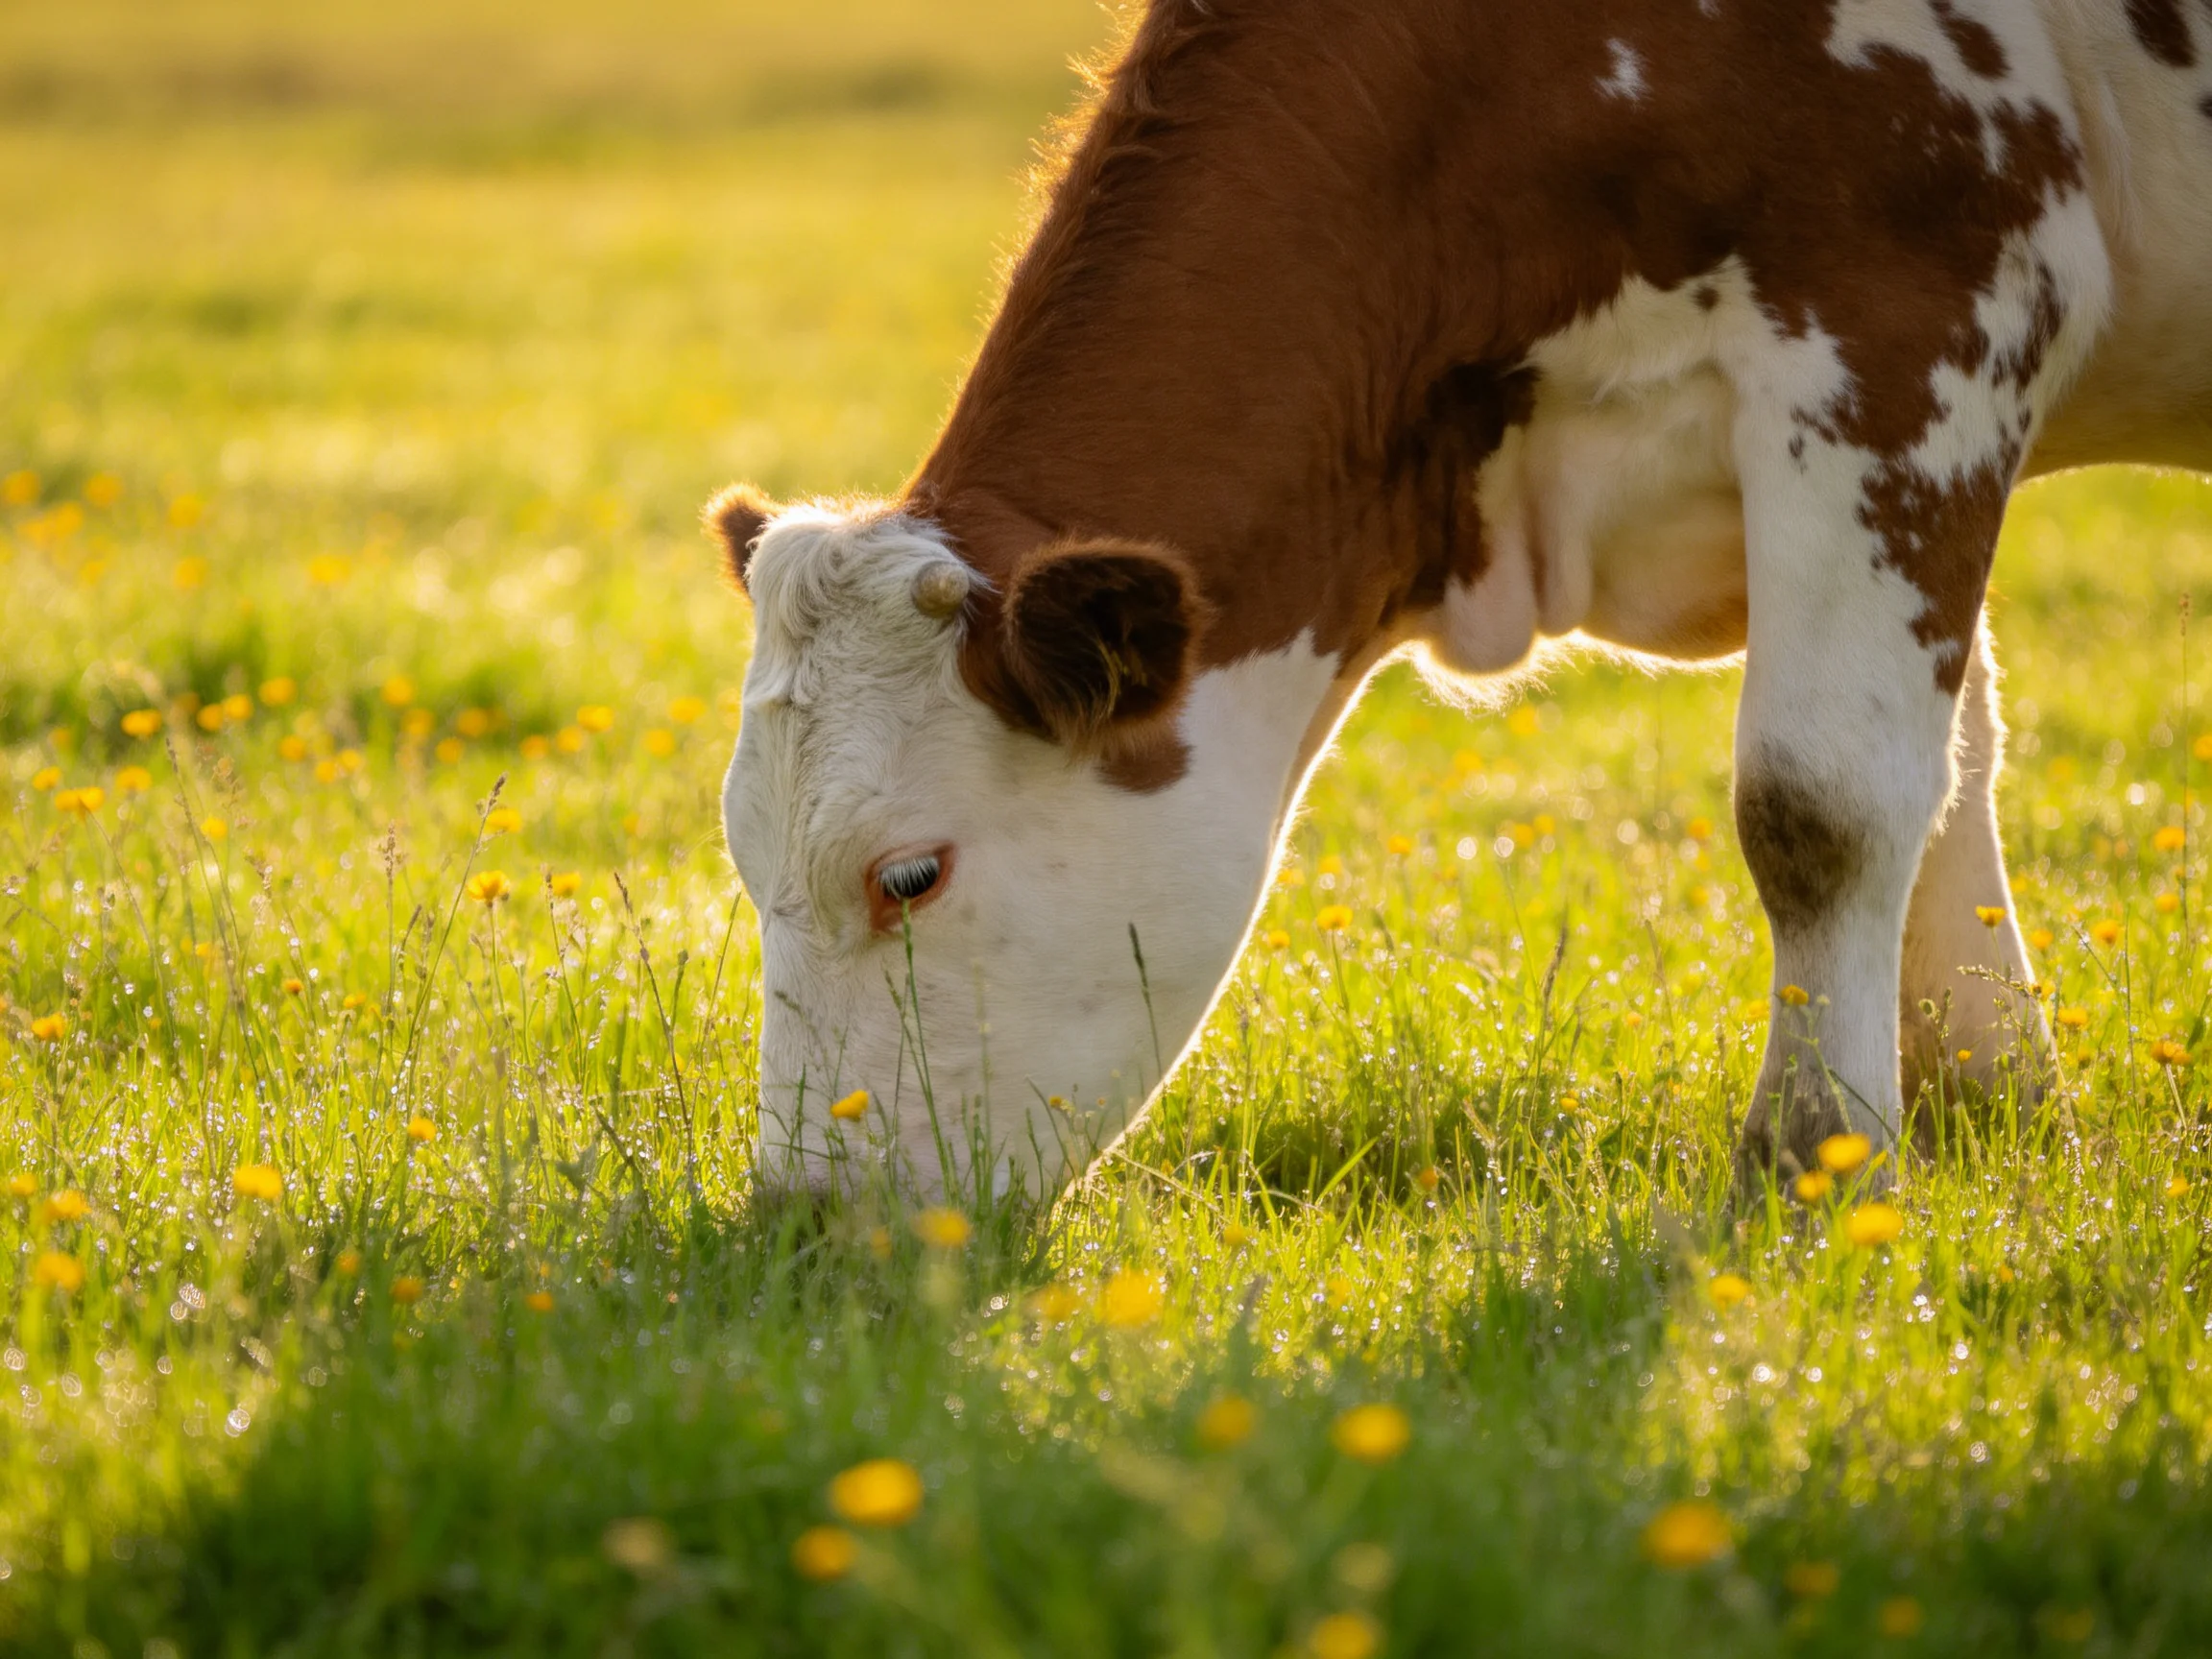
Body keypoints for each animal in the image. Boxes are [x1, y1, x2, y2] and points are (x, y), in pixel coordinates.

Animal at [706, 0, 2212, 1204]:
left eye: (908, 875)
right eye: (748, 864)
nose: (802, 1216)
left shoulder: (1905, 328)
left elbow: (1823, 801)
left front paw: (1814, 1165)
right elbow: (1956, 767)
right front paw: (1997, 1104)